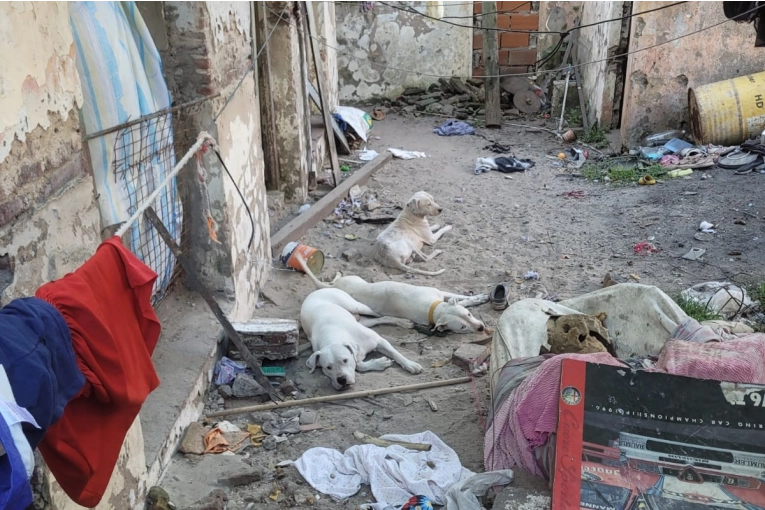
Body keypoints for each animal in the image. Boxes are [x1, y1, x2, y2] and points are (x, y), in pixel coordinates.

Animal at [296, 253, 488, 334]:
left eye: (469, 315)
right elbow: (462, 301)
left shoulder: (440, 293)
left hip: (354, 280)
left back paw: (336, 274)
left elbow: (463, 299)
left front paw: (479, 297)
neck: (435, 308)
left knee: (335, 279)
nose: (481, 328)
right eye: (462, 327)